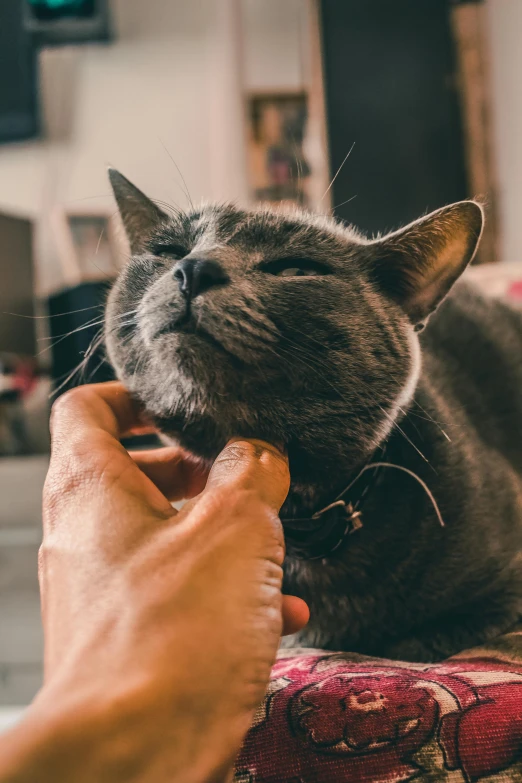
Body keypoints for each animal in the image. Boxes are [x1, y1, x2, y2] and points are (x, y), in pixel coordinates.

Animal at [102, 170, 520, 660]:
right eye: (168, 251)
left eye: (295, 269)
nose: (194, 269)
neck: (300, 512)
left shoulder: (502, 590)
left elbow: (414, 643)